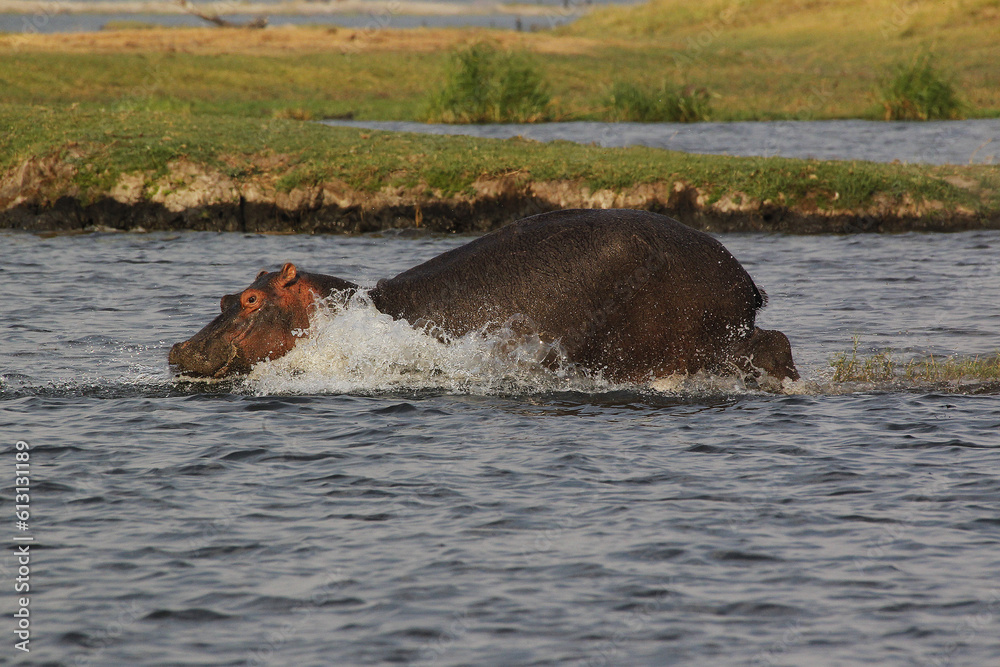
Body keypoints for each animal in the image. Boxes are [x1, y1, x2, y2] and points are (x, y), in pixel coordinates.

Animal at [169, 209, 798, 383]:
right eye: (226, 297)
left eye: (253, 302)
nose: (178, 348)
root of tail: (746, 279)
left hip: (708, 336)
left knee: (774, 345)